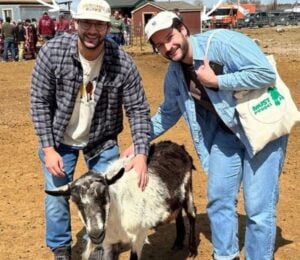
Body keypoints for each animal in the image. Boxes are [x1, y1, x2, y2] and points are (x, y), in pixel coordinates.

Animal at [45, 141, 198, 258]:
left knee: (191, 214)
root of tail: (176, 146)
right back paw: (178, 243)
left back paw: (192, 250)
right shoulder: (108, 243)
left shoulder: (139, 236)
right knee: (178, 212)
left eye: (104, 194)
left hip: (188, 188)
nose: (95, 233)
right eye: (76, 202)